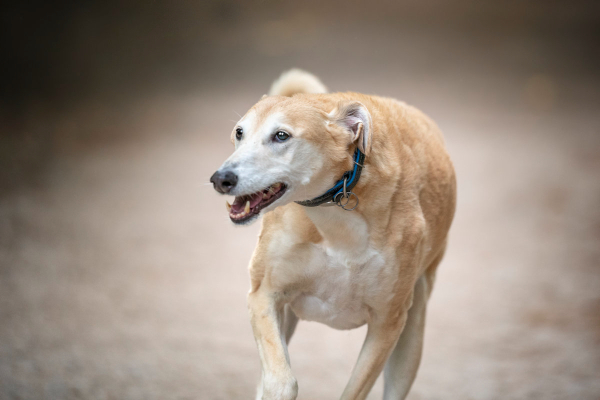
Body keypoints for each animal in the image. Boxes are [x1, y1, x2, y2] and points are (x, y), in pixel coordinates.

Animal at [210, 69, 454, 400]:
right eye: (239, 133)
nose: (220, 179)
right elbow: (281, 382)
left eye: (281, 135)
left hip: (411, 333)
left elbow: (353, 391)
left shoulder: (387, 323)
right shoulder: (263, 296)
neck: (334, 218)